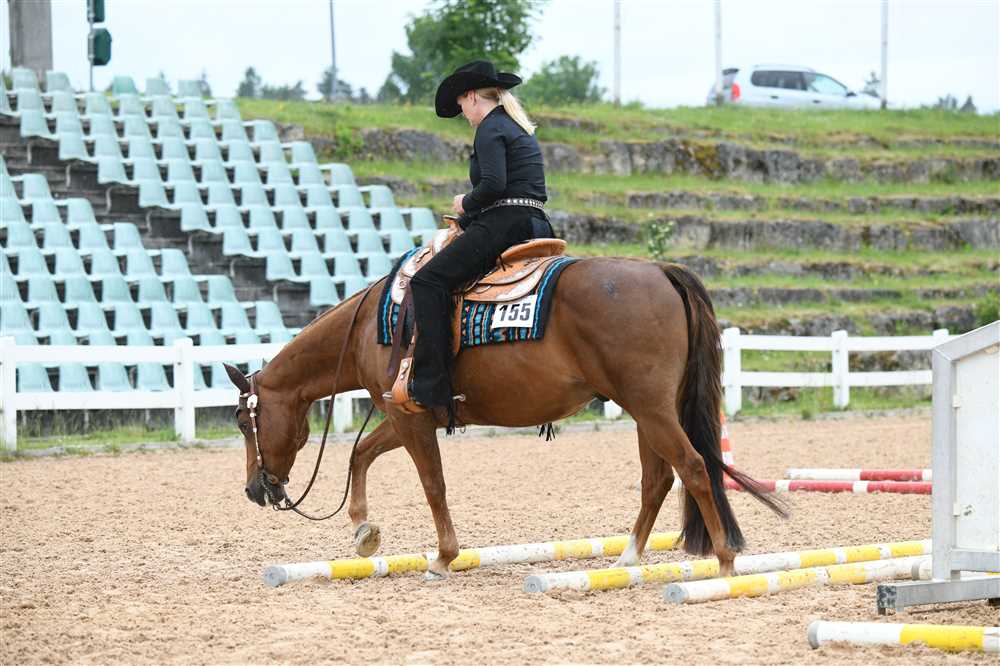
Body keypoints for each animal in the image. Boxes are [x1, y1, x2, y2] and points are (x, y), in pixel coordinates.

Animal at [224, 257, 785, 581]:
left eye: (242, 421)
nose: (253, 489)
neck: (370, 326)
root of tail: (662, 272)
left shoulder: (411, 420)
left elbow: (432, 483)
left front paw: (443, 557)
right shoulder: (406, 415)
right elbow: (362, 453)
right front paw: (364, 529)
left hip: (650, 407)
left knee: (693, 468)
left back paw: (725, 561)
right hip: (648, 410)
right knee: (658, 478)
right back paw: (628, 558)